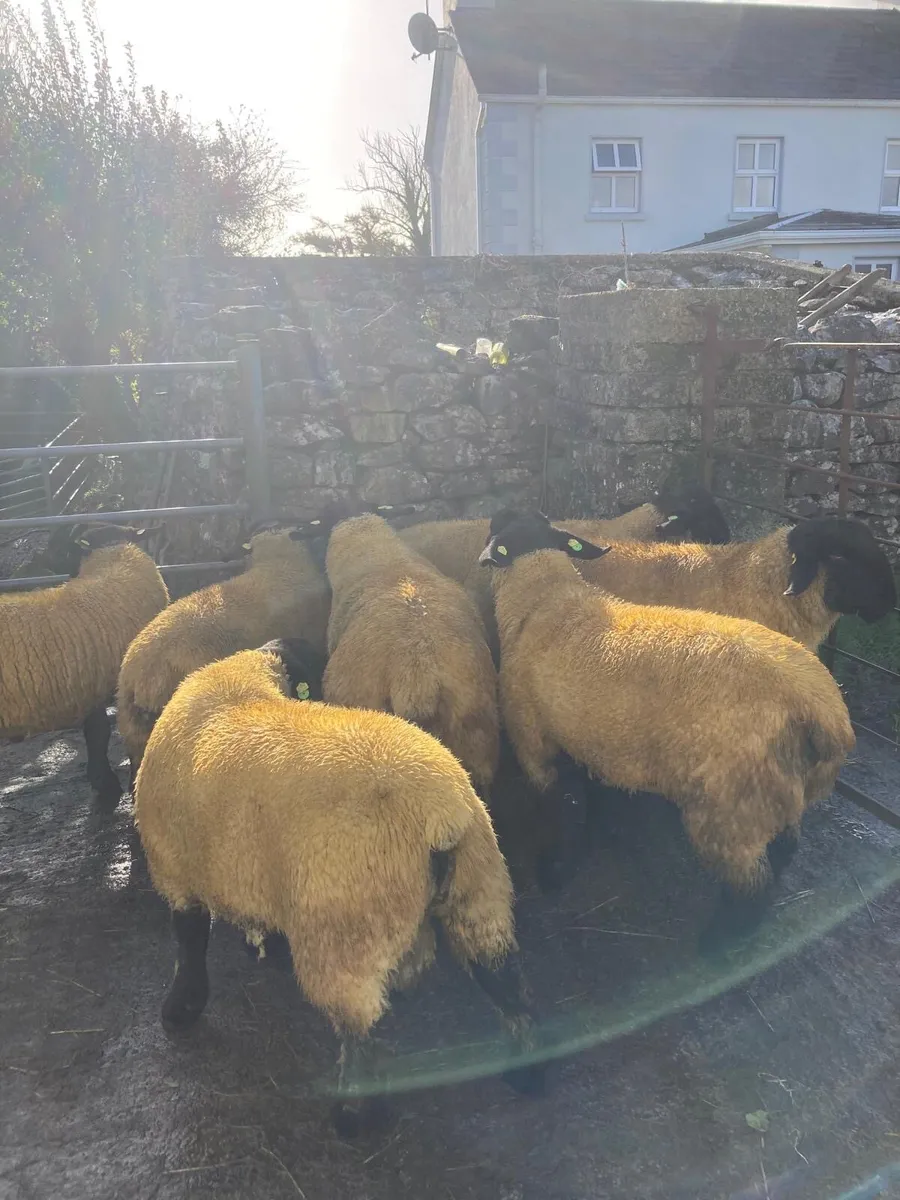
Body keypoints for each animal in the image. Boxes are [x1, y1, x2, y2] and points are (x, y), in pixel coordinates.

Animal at [0, 522, 168, 806]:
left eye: (65, 549)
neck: (111, 556)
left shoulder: (93, 688)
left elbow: (98, 733)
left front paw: (106, 785)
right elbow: (99, 734)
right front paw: (108, 787)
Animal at [133, 637, 545, 1136]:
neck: (237, 687)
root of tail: (437, 815)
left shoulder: (174, 870)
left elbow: (189, 942)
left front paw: (180, 1010)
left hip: (342, 928)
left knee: (361, 1026)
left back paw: (354, 1116)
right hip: (479, 890)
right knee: (503, 976)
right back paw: (526, 1070)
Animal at [478, 508, 855, 955]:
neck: (544, 599)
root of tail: (823, 707)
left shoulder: (533, 741)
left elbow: (560, 809)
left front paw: (555, 870)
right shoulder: (595, 739)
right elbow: (593, 798)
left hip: (732, 807)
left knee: (751, 884)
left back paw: (718, 944)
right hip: (781, 790)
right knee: (784, 848)